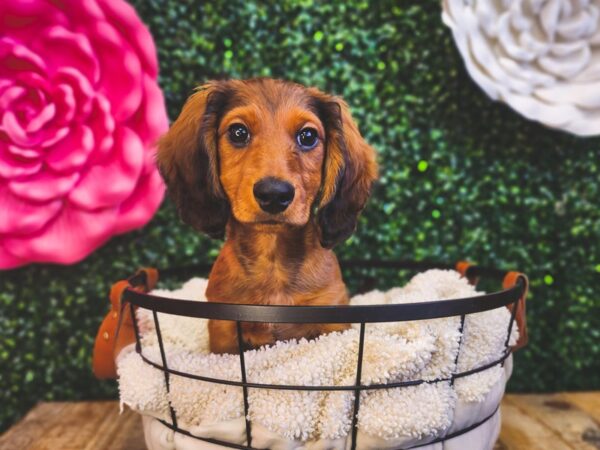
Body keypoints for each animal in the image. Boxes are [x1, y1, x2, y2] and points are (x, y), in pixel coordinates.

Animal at [157, 78, 378, 356]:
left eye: (308, 136)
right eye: (238, 132)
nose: (274, 194)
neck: (273, 263)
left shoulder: (332, 321)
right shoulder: (224, 334)